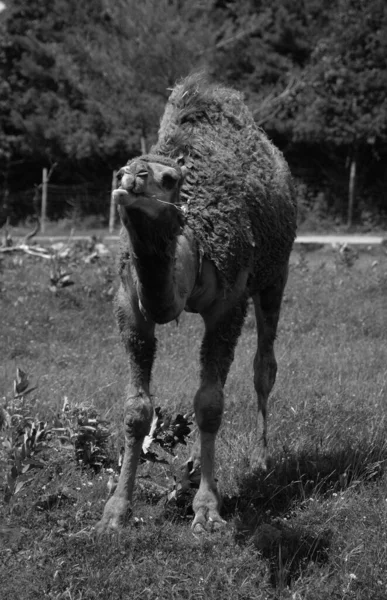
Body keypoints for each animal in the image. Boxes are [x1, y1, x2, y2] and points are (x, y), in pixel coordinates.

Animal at [96, 74, 298, 536]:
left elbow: (209, 404)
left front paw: (207, 510)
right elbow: (136, 410)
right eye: (122, 169)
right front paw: (116, 511)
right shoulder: (129, 304)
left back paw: (262, 459)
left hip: (275, 275)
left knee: (265, 366)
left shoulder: (229, 303)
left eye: (170, 179)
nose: (133, 180)